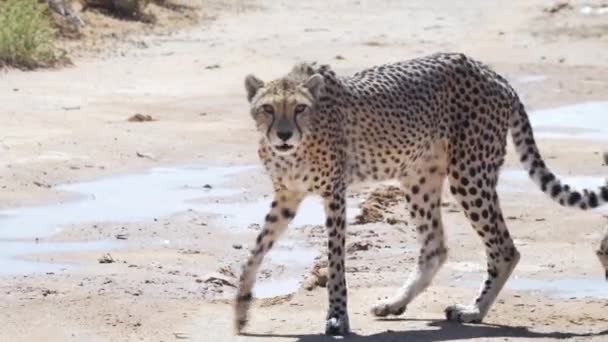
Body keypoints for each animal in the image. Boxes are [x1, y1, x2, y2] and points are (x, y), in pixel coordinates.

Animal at [234, 52, 608, 336]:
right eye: (267, 108)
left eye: (299, 108)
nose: (284, 135)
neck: (297, 147)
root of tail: (492, 73)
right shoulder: (287, 197)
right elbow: (256, 250)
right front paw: (240, 308)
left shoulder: (334, 195)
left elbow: (336, 262)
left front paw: (337, 318)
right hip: (418, 177)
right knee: (435, 247)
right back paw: (396, 303)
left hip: (469, 174)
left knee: (504, 248)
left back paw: (473, 311)